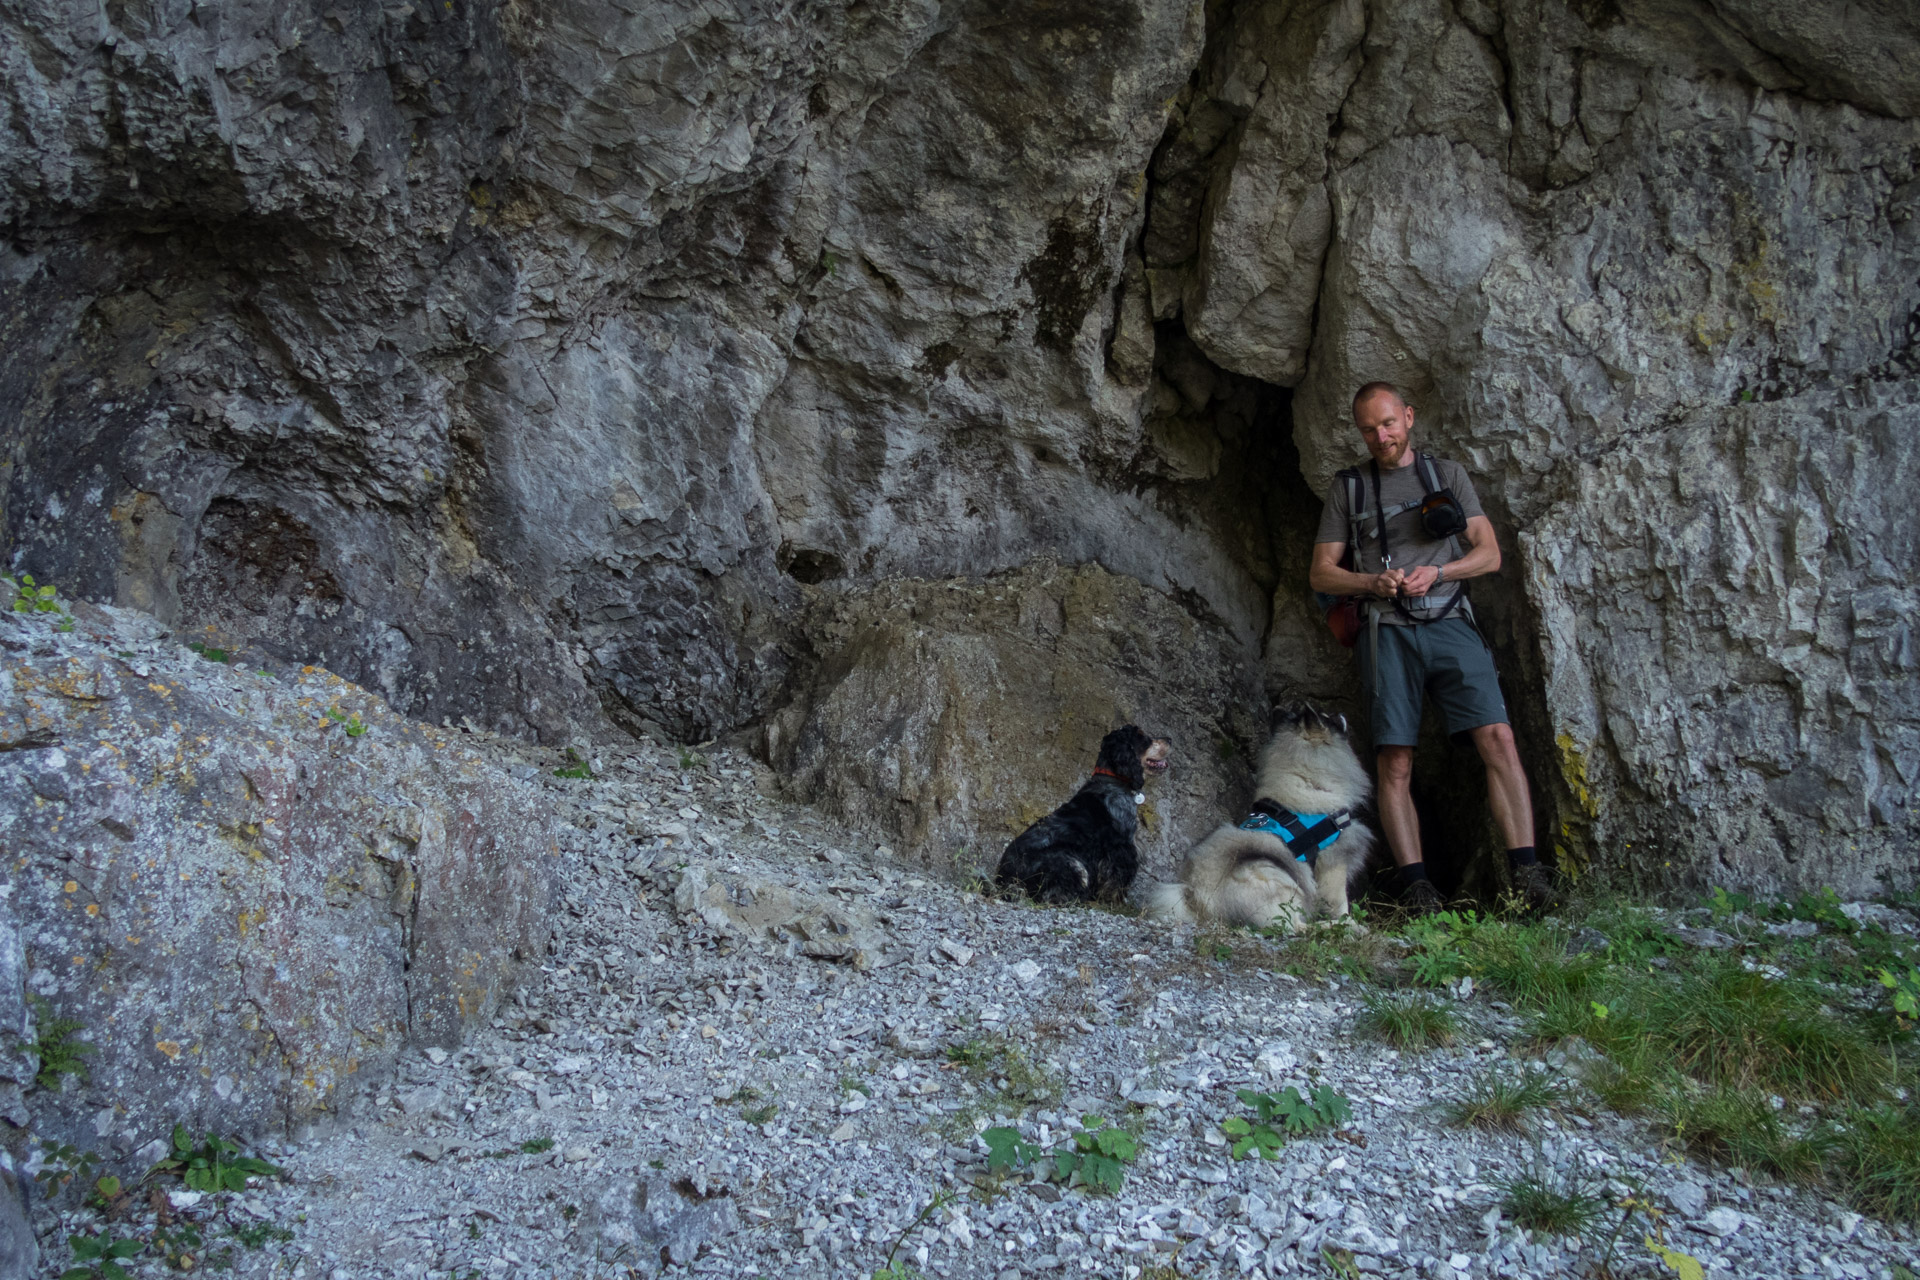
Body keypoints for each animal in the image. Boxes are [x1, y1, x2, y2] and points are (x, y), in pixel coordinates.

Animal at [998, 725, 1175, 905]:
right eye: (1142, 737)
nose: (1170, 739)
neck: (1114, 781)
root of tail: (1006, 879)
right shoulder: (1122, 849)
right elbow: (1116, 882)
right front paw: (1116, 904)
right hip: (1070, 861)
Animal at [1144, 706, 1374, 936]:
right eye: (1327, 717)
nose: (1340, 714)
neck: (1307, 780)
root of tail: (1198, 902)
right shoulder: (1335, 863)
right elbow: (1341, 904)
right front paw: (1350, 922)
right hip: (1275, 876)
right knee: (1294, 927)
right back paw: (1340, 928)